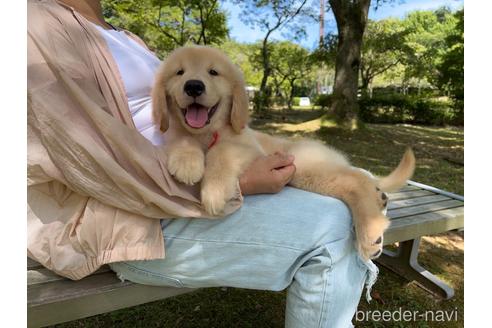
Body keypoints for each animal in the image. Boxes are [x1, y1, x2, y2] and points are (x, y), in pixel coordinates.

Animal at [152, 45, 414, 258]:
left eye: (213, 72)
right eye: (179, 72)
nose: (193, 86)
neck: (207, 133)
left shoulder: (247, 146)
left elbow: (222, 152)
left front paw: (214, 191)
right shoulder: (177, 134)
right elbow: (182, 138)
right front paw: (187, 164)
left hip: (306, 167)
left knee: (357, 180)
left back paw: (371, 232)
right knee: (358, 180)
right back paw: (378, 202)